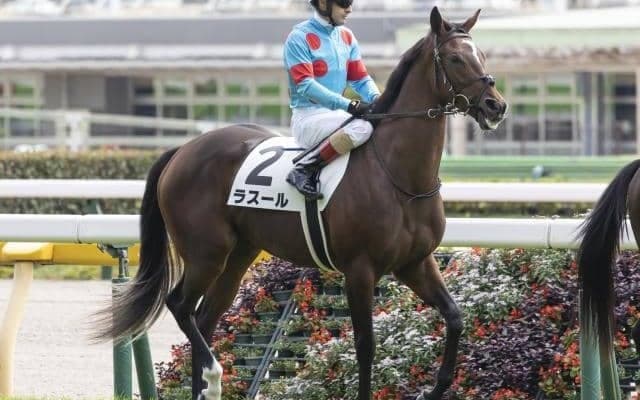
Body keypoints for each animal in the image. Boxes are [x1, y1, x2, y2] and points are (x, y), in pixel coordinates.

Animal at [95, 7, 507, 400]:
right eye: (455, 58)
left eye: (483, 55)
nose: (495, 106)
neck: (398, 176)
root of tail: (182, 150)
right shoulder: (359, 269)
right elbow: (365, 345)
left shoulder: (415, 262)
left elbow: (454, 317)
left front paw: (434, 388)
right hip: (205, 253)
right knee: (181, 306)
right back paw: (213, 376)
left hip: (238, 255)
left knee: (205, 317)